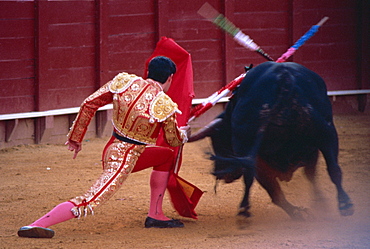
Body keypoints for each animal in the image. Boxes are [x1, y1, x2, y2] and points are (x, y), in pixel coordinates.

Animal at [189, 61, 354, 219]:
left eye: (218, 141)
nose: (220, 174)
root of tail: (284, 78)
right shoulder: (311, 149)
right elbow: (306, 177)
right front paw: (315, 206)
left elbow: (284, 186)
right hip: (326, 132)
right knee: (334, 169)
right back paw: (344, 205)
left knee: (251, 174)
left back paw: (244, 210)